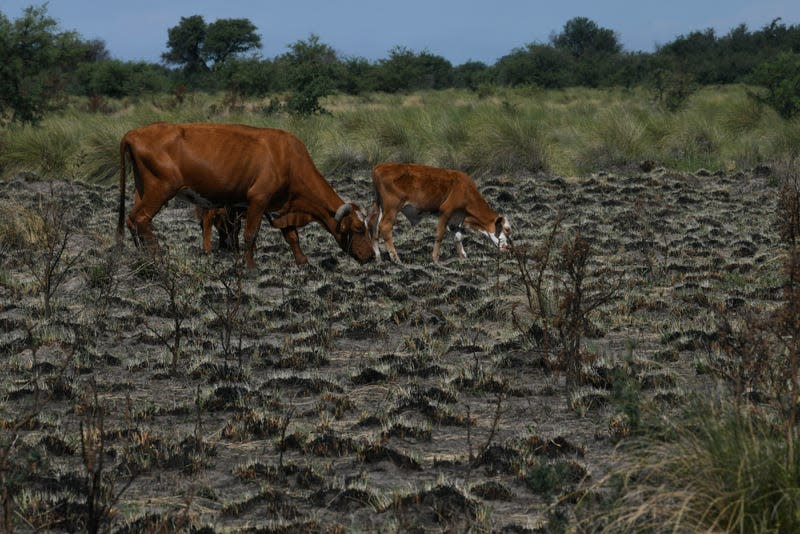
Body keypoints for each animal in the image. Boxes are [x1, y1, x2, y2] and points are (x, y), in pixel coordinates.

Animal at [118, 123, 376, 270]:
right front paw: (250, 267)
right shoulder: (258, 200)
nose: (372, 256)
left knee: (131, 219)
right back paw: (158, 259)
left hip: (142, 190)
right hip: (159, 190)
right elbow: (251, 235)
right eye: (359, 229)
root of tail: (133, 133)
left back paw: (141, 255)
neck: (288, 158)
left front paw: (303, 262)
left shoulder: (280, 207)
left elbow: (292, 237)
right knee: (141, 220)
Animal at [370, 163, 512, 264]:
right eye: (506, 229)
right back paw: (396, 259)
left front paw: (463, 257)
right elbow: (439, 234)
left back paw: (378, 258)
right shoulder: (446, 211)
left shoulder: (457, 218)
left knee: (374, 226)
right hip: (392, 207)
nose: (507, 248)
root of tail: (380, 166)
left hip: (381, 207)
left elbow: (458, 237)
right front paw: (435, 259)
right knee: (385, 227)